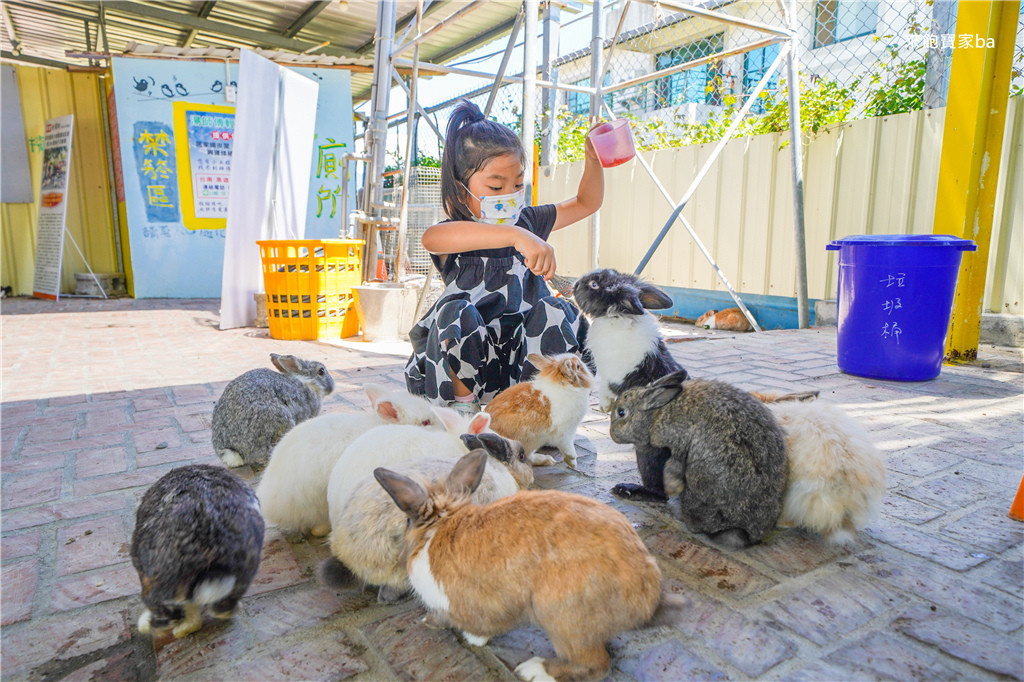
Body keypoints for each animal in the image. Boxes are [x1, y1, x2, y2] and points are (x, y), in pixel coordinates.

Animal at [374, 448, 679, 675]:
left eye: (407, 522)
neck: (441, 525)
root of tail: (648, 592)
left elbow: (478, 628)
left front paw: (448, 628)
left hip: (559, 616)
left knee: (595, 665)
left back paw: (533, 671)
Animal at [610, 366, 786, 548]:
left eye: (621, 412)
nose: (612, 434)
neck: (657, 413)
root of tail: (750, 535)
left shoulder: (677, 440)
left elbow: (675, 464)